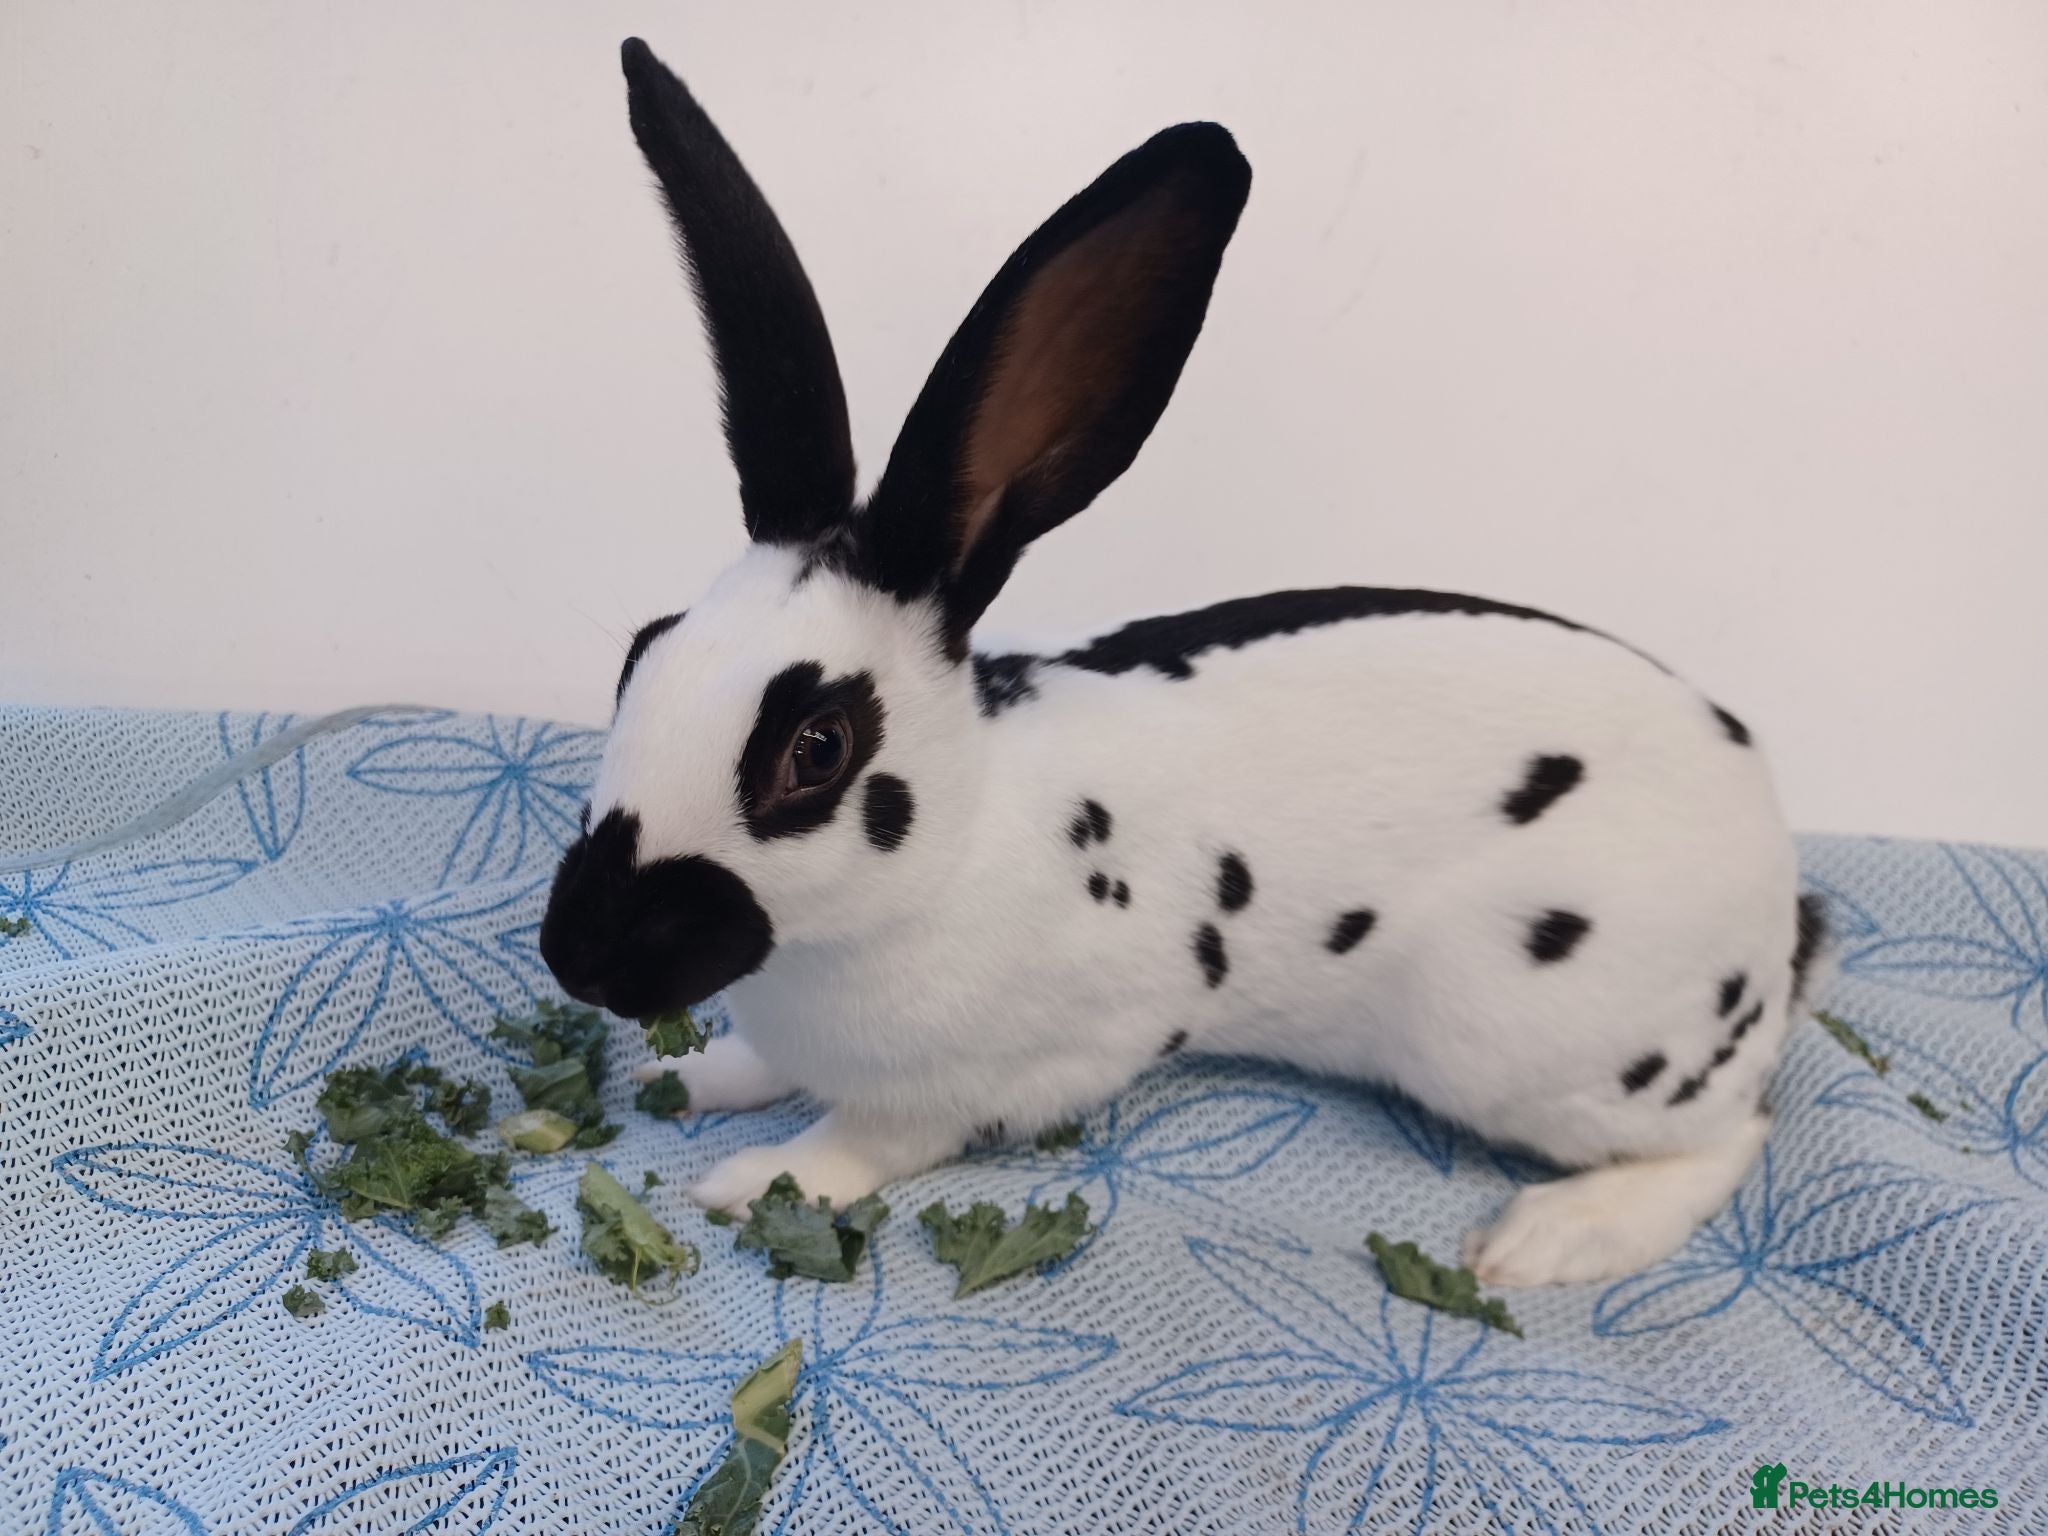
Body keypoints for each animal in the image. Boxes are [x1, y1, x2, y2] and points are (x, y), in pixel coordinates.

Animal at [539, 38, 1827, 1288]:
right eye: (642, 651)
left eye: (817, 748)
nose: (575, 958)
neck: (954, 847)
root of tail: (1772, 883)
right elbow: (761, 1066)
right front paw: (690, 1079)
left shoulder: (975, 1083)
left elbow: (862, 1143)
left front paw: (752, 1180)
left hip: (1529, 1038)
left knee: (1730, 1139)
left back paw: (1544, 1241)